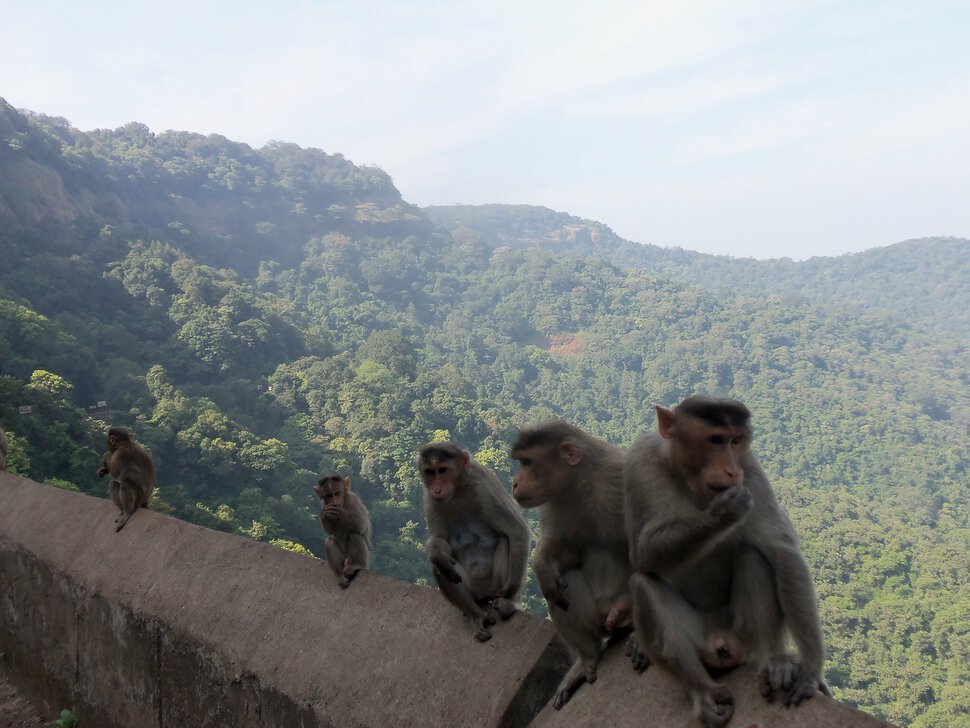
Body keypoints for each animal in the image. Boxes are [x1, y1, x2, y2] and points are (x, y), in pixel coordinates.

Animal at [418, 444, 532, 644]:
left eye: (442, 470)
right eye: (430, 472)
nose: (437, 489)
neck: (458, 491)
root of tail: (483, 595)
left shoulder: (484, 486)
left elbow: (517, 531)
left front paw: (510, 594)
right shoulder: (430, 500)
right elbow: (442, 543)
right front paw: (436, 551)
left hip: (494, 586)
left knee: (506, 539)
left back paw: (506, 604)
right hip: (472, 590)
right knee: (441, 567)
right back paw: (475, 614)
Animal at [510, 424, 632, 708]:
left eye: (527, 462)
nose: (515, 482)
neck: (581, 482)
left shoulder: (618, 487)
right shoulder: (558, 503)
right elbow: (566, 550)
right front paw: (541, 565)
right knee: (561, 584)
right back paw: (587, 657)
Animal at [624, 398, 828, 728]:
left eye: (737, 440)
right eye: (716, 440)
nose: (732, 470)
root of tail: (719, 641)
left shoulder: (751, 468)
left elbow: (781, 551)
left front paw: (810, 671)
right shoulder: (638, 462)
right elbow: (640, 554)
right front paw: (723, 513)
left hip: (743, 636)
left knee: (752, 555)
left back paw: (775, 661)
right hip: (698, 643)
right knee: (643, 584)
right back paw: (703, 691)